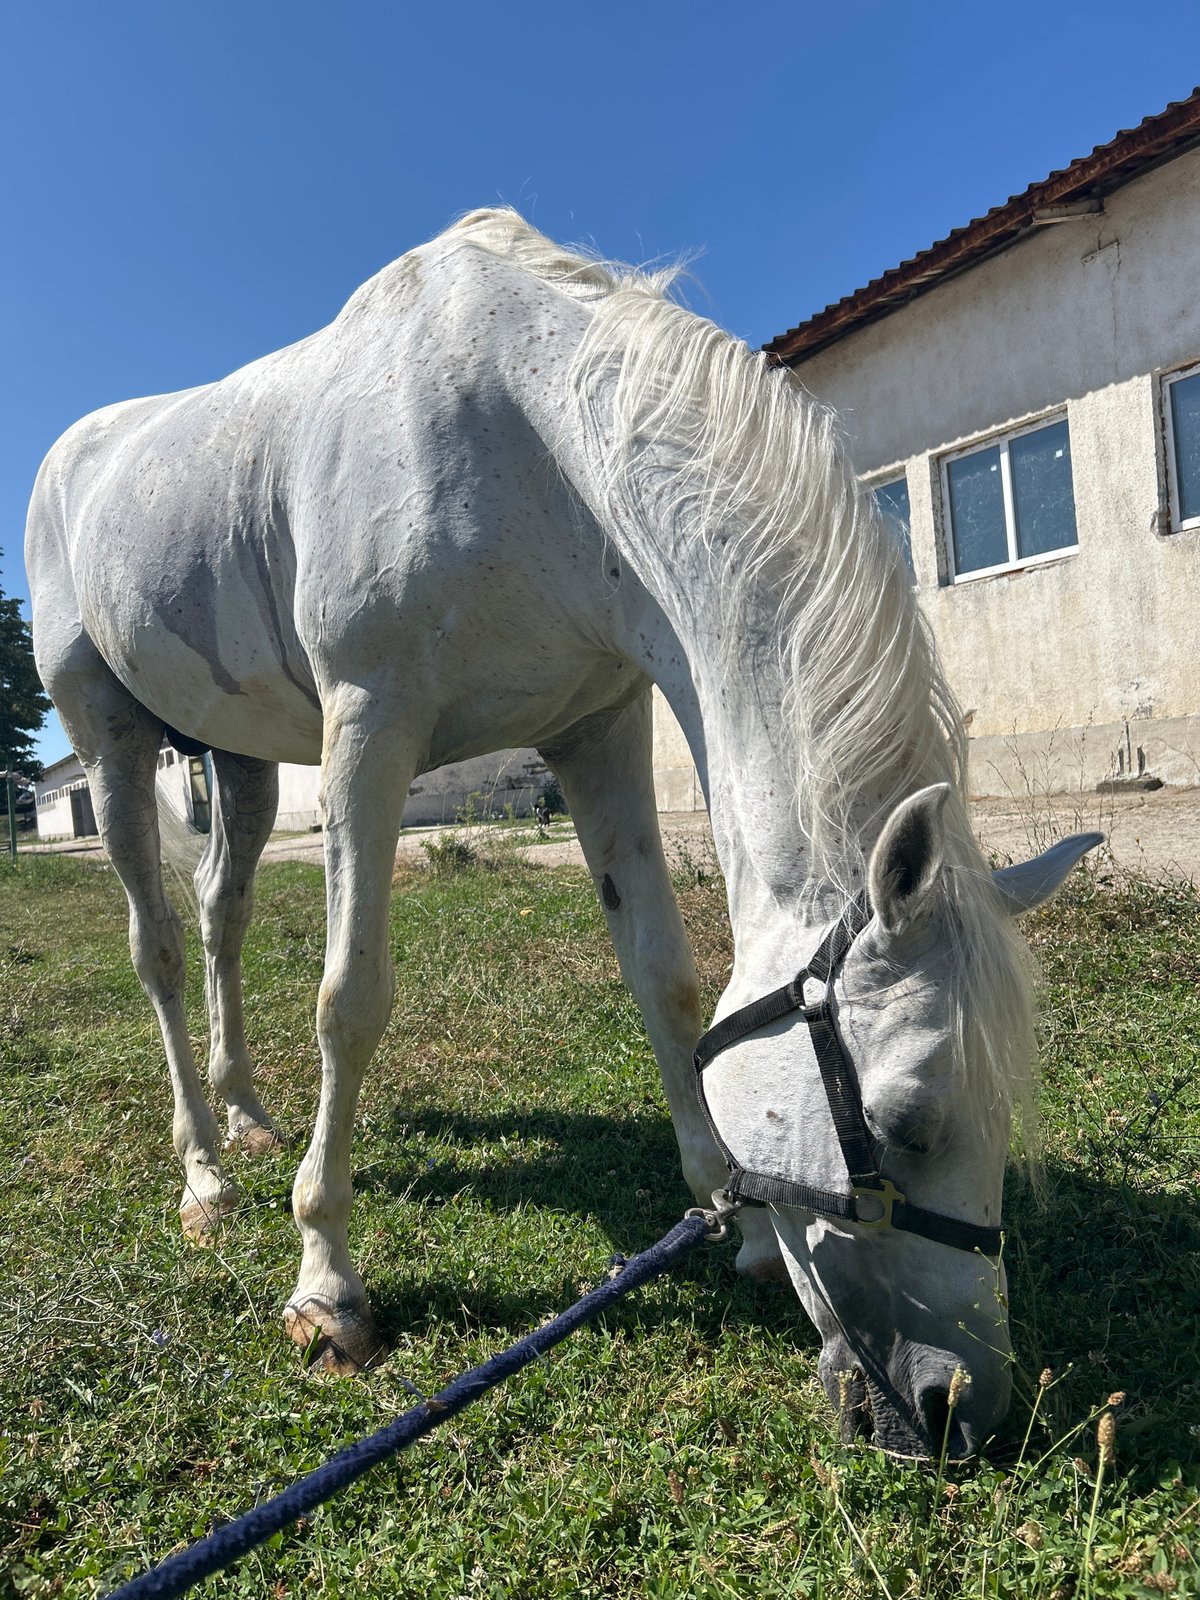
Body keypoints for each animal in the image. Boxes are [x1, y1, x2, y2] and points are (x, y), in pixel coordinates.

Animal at [26, 209, 1099, 1458]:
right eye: (903, 1121)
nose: (959, 1408)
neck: (524, 434)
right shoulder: (369, 722)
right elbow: (350, 1000)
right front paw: (328, 1286)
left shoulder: (600, 727)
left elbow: (667, 982)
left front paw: (732, 1219)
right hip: (109, 734)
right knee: (154, 946)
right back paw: (206, 1175)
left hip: (235, 758)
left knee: (221, 920)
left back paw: (245, 1116)